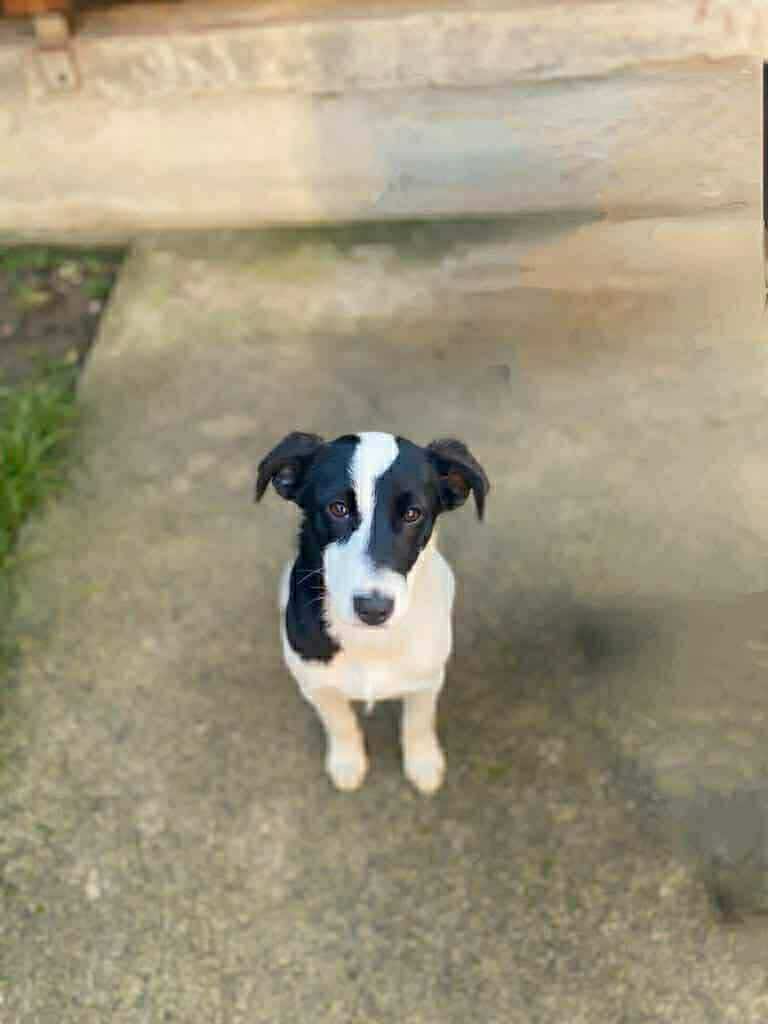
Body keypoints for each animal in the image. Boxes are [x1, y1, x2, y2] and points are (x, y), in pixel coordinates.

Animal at [256, 431, 489, 794]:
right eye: (337, 508)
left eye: (412, 514)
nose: (374, 609)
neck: (370, 642)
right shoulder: (317, 685)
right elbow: (340, 723)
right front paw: (347, 761)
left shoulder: (426, 681)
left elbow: (418, 723)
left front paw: (423, 762)